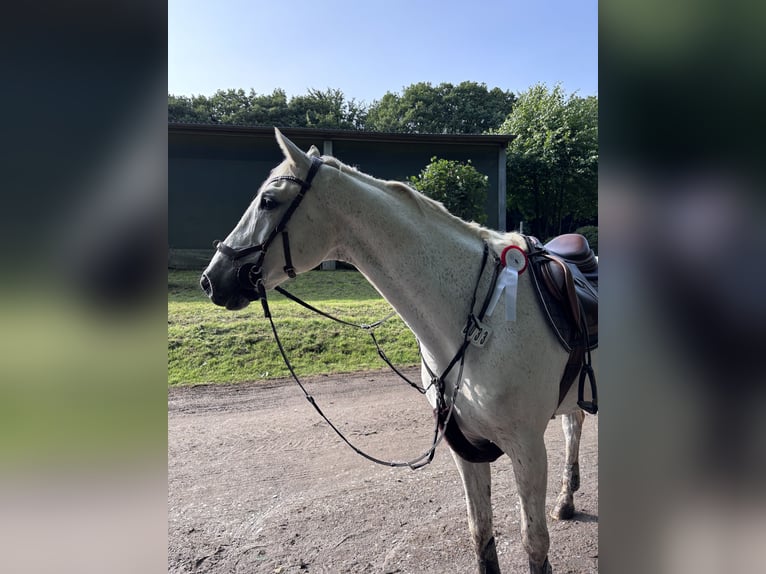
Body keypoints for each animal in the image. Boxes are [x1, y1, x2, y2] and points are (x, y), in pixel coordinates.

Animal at [200, 128, 596, 574]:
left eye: (268, 201)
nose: (211, 279)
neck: (479, 319)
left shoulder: (527, 448)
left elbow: (534, 544)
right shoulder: (467, 449)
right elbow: (481, 534)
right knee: (574, 423)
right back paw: (566, 499)